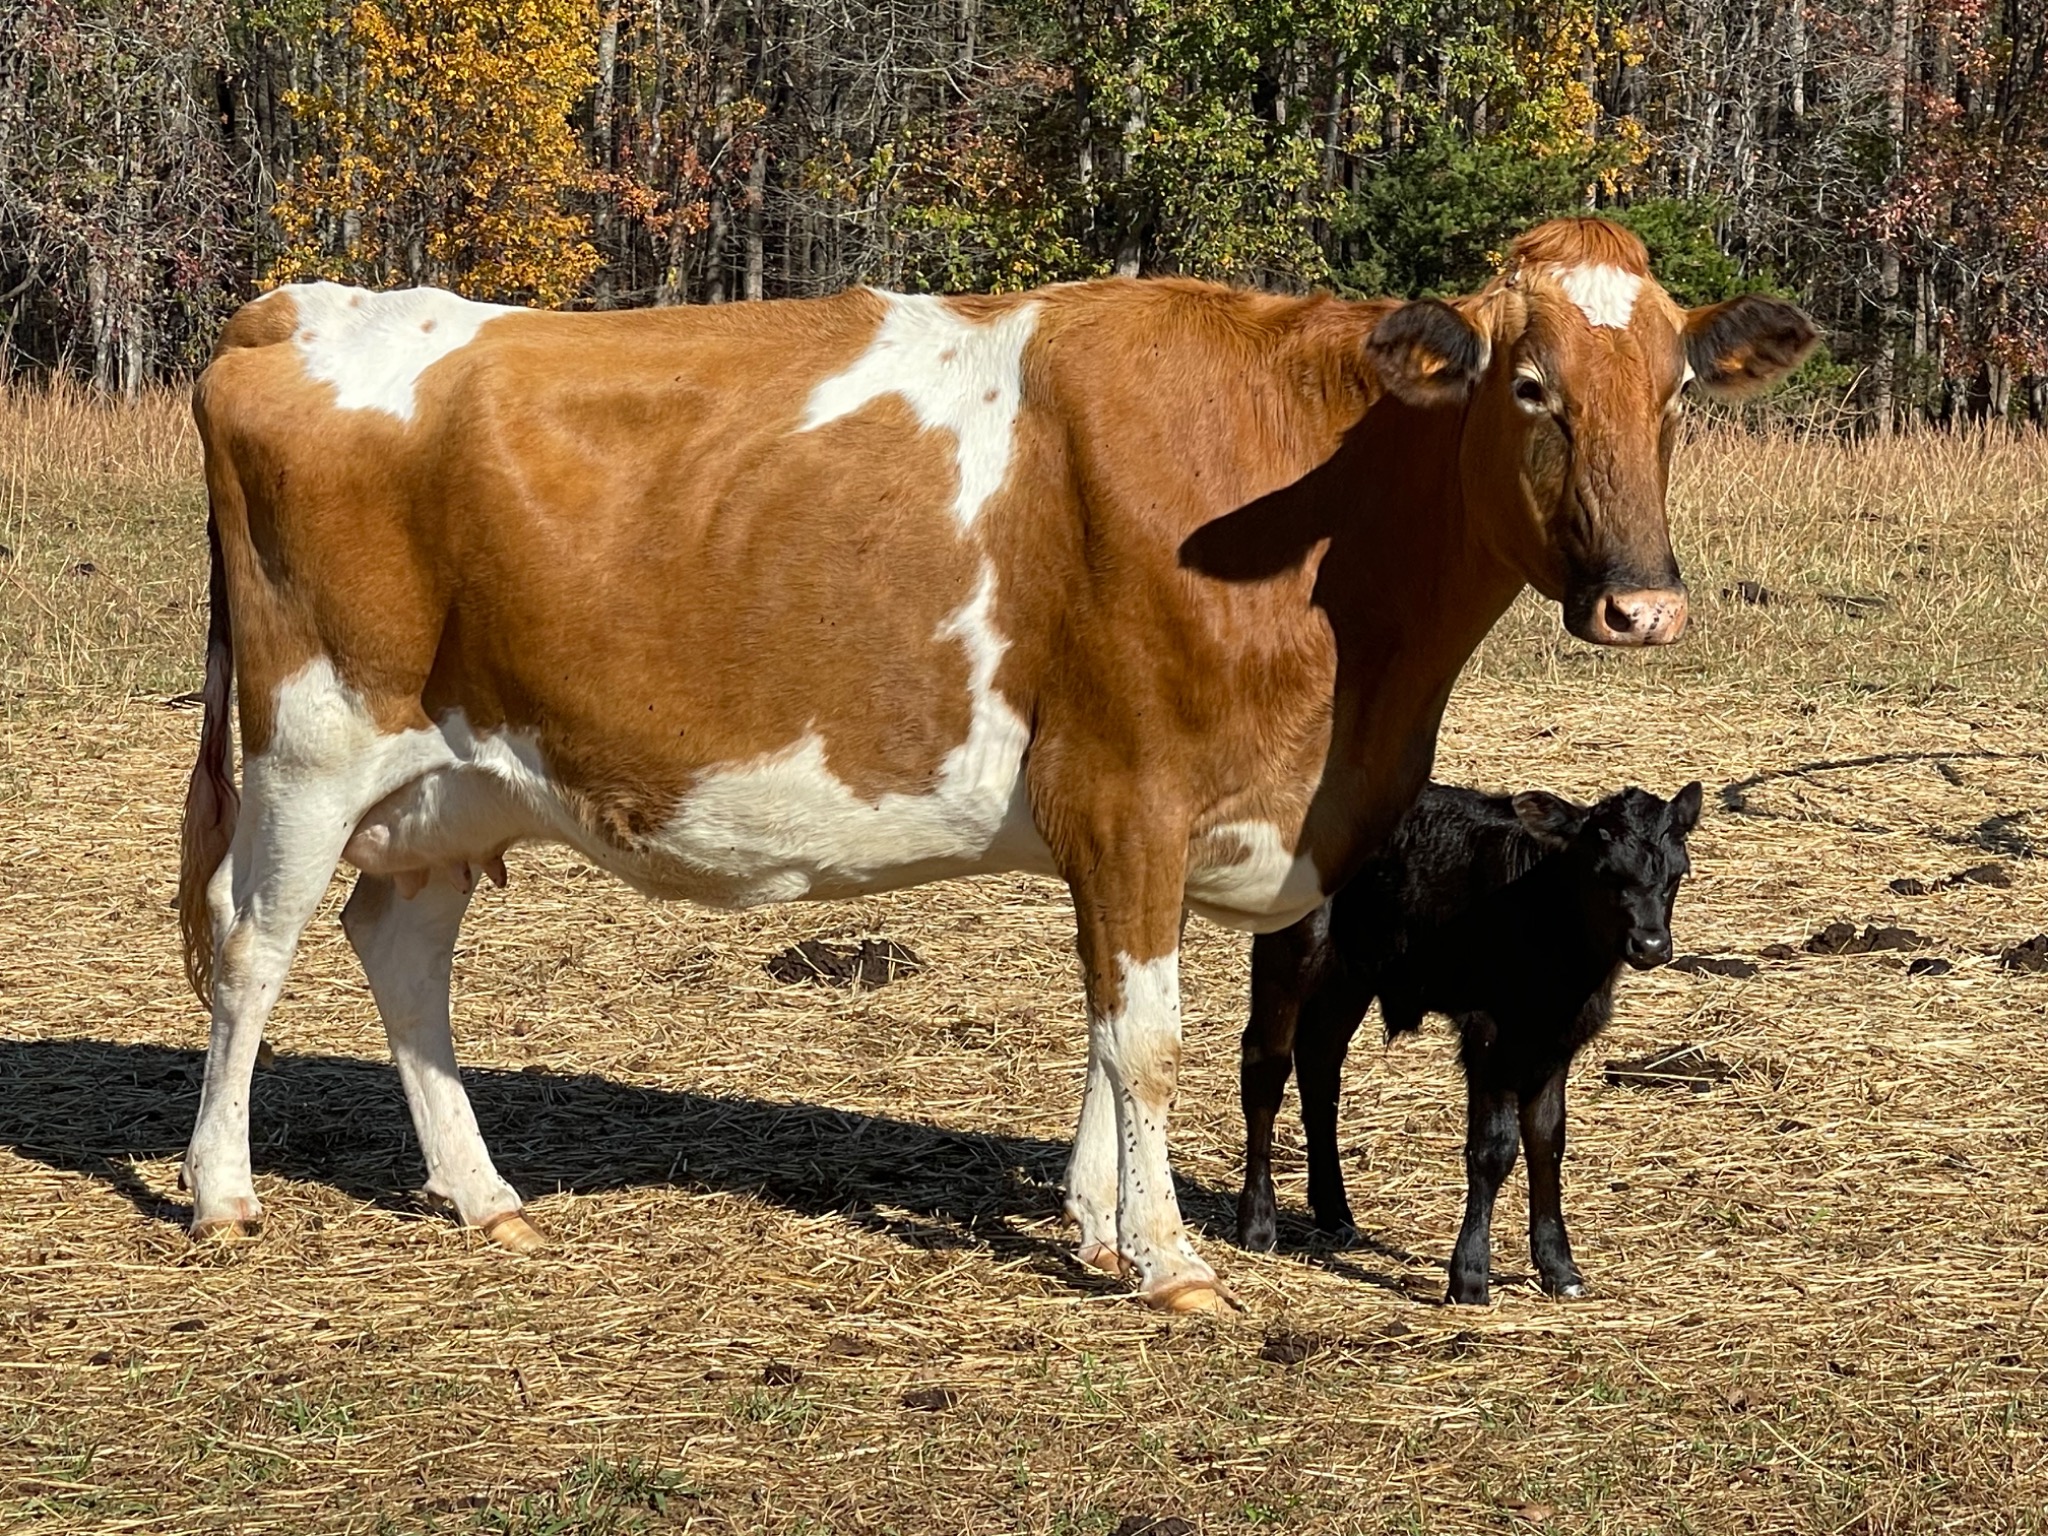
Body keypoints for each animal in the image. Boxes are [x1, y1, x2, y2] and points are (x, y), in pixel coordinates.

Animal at [1235, 781, 1701, 1303]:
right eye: (1604, 872)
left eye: (1677, 873)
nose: (1651, 946)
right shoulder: (1490, 1034)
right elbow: (1494, 1147)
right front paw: (1471, 1276)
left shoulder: (1554, 1039)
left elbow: (1547, 1141)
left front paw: (1559, 1268)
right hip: (1291, 949)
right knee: (1265, 1068)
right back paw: (1258, 1224)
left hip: (1350, 975)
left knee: (1320, 1064)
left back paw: (1335, 1214)